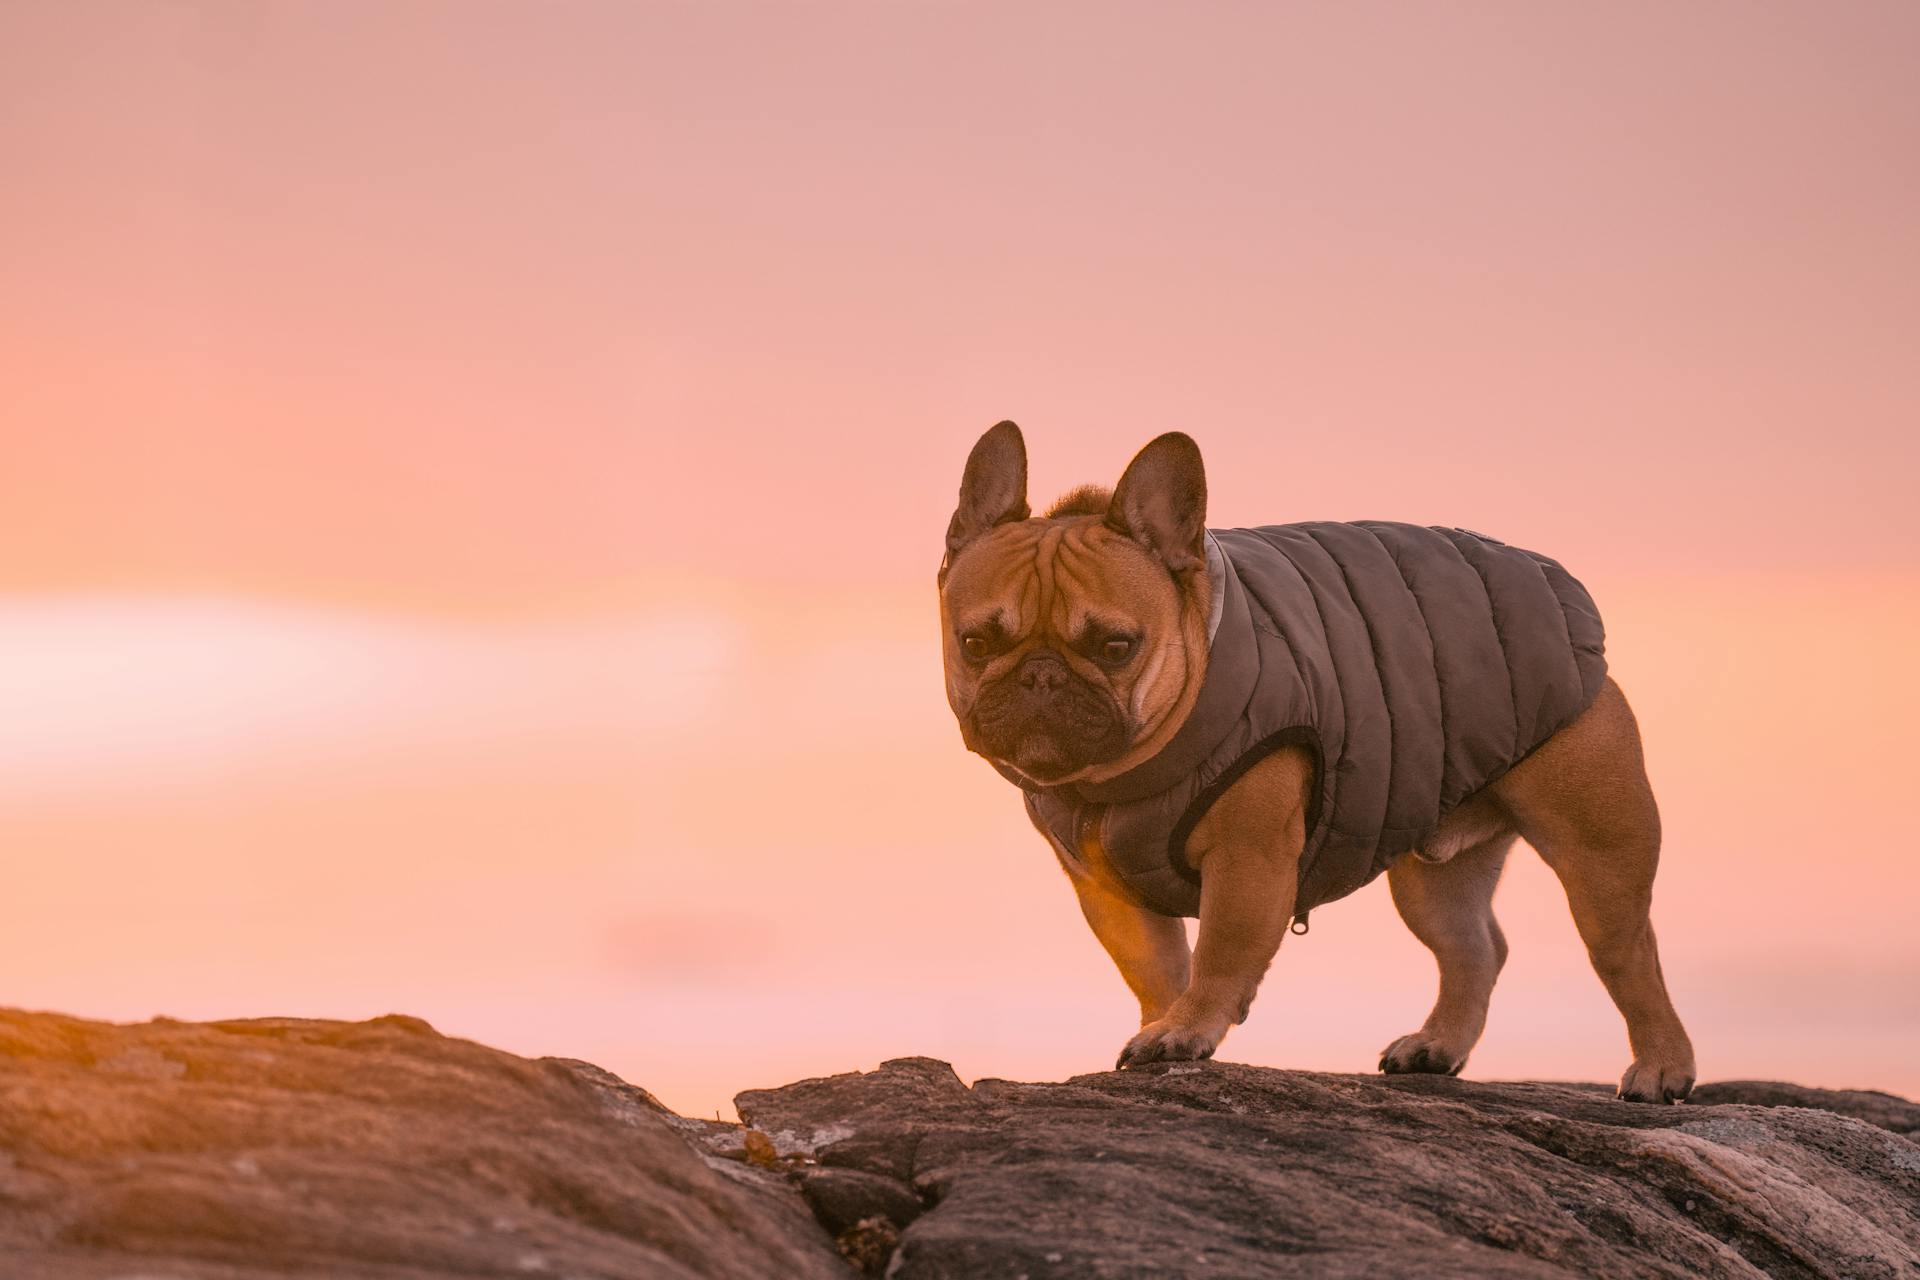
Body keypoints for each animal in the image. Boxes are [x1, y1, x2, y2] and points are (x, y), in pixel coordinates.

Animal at [940, 420, 1697, 1105]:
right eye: (974, 644)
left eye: (1115, 647)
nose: (1039, 677)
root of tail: (1558, 588)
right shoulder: (1106, 886)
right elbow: (1155, 968)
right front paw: (1162, 1025)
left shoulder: (1248, 860)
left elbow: (1219, 951)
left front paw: (1185, 1030)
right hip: (1434, 874)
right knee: (1474, 947)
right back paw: (1438, 1045)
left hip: (1597, 847)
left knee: (1629, 952)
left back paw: (1662, 1069)